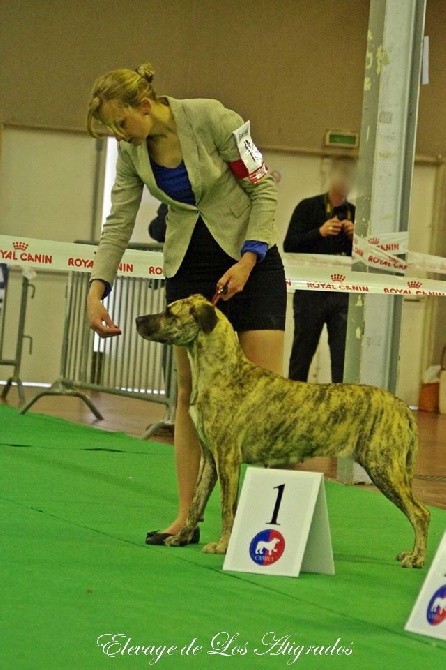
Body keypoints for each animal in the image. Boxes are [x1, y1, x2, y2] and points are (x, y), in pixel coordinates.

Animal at [135, 294, 428, 568]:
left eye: (169, 313)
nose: (138, 320)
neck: (221, 373)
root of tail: (401, 405)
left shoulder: (227, 458)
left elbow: (227, 508)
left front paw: (221, 545)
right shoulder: (210, 458)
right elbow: (196, 502)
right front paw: (181, 538)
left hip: (383, 466)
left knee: (420, 513)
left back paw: (416, 558)